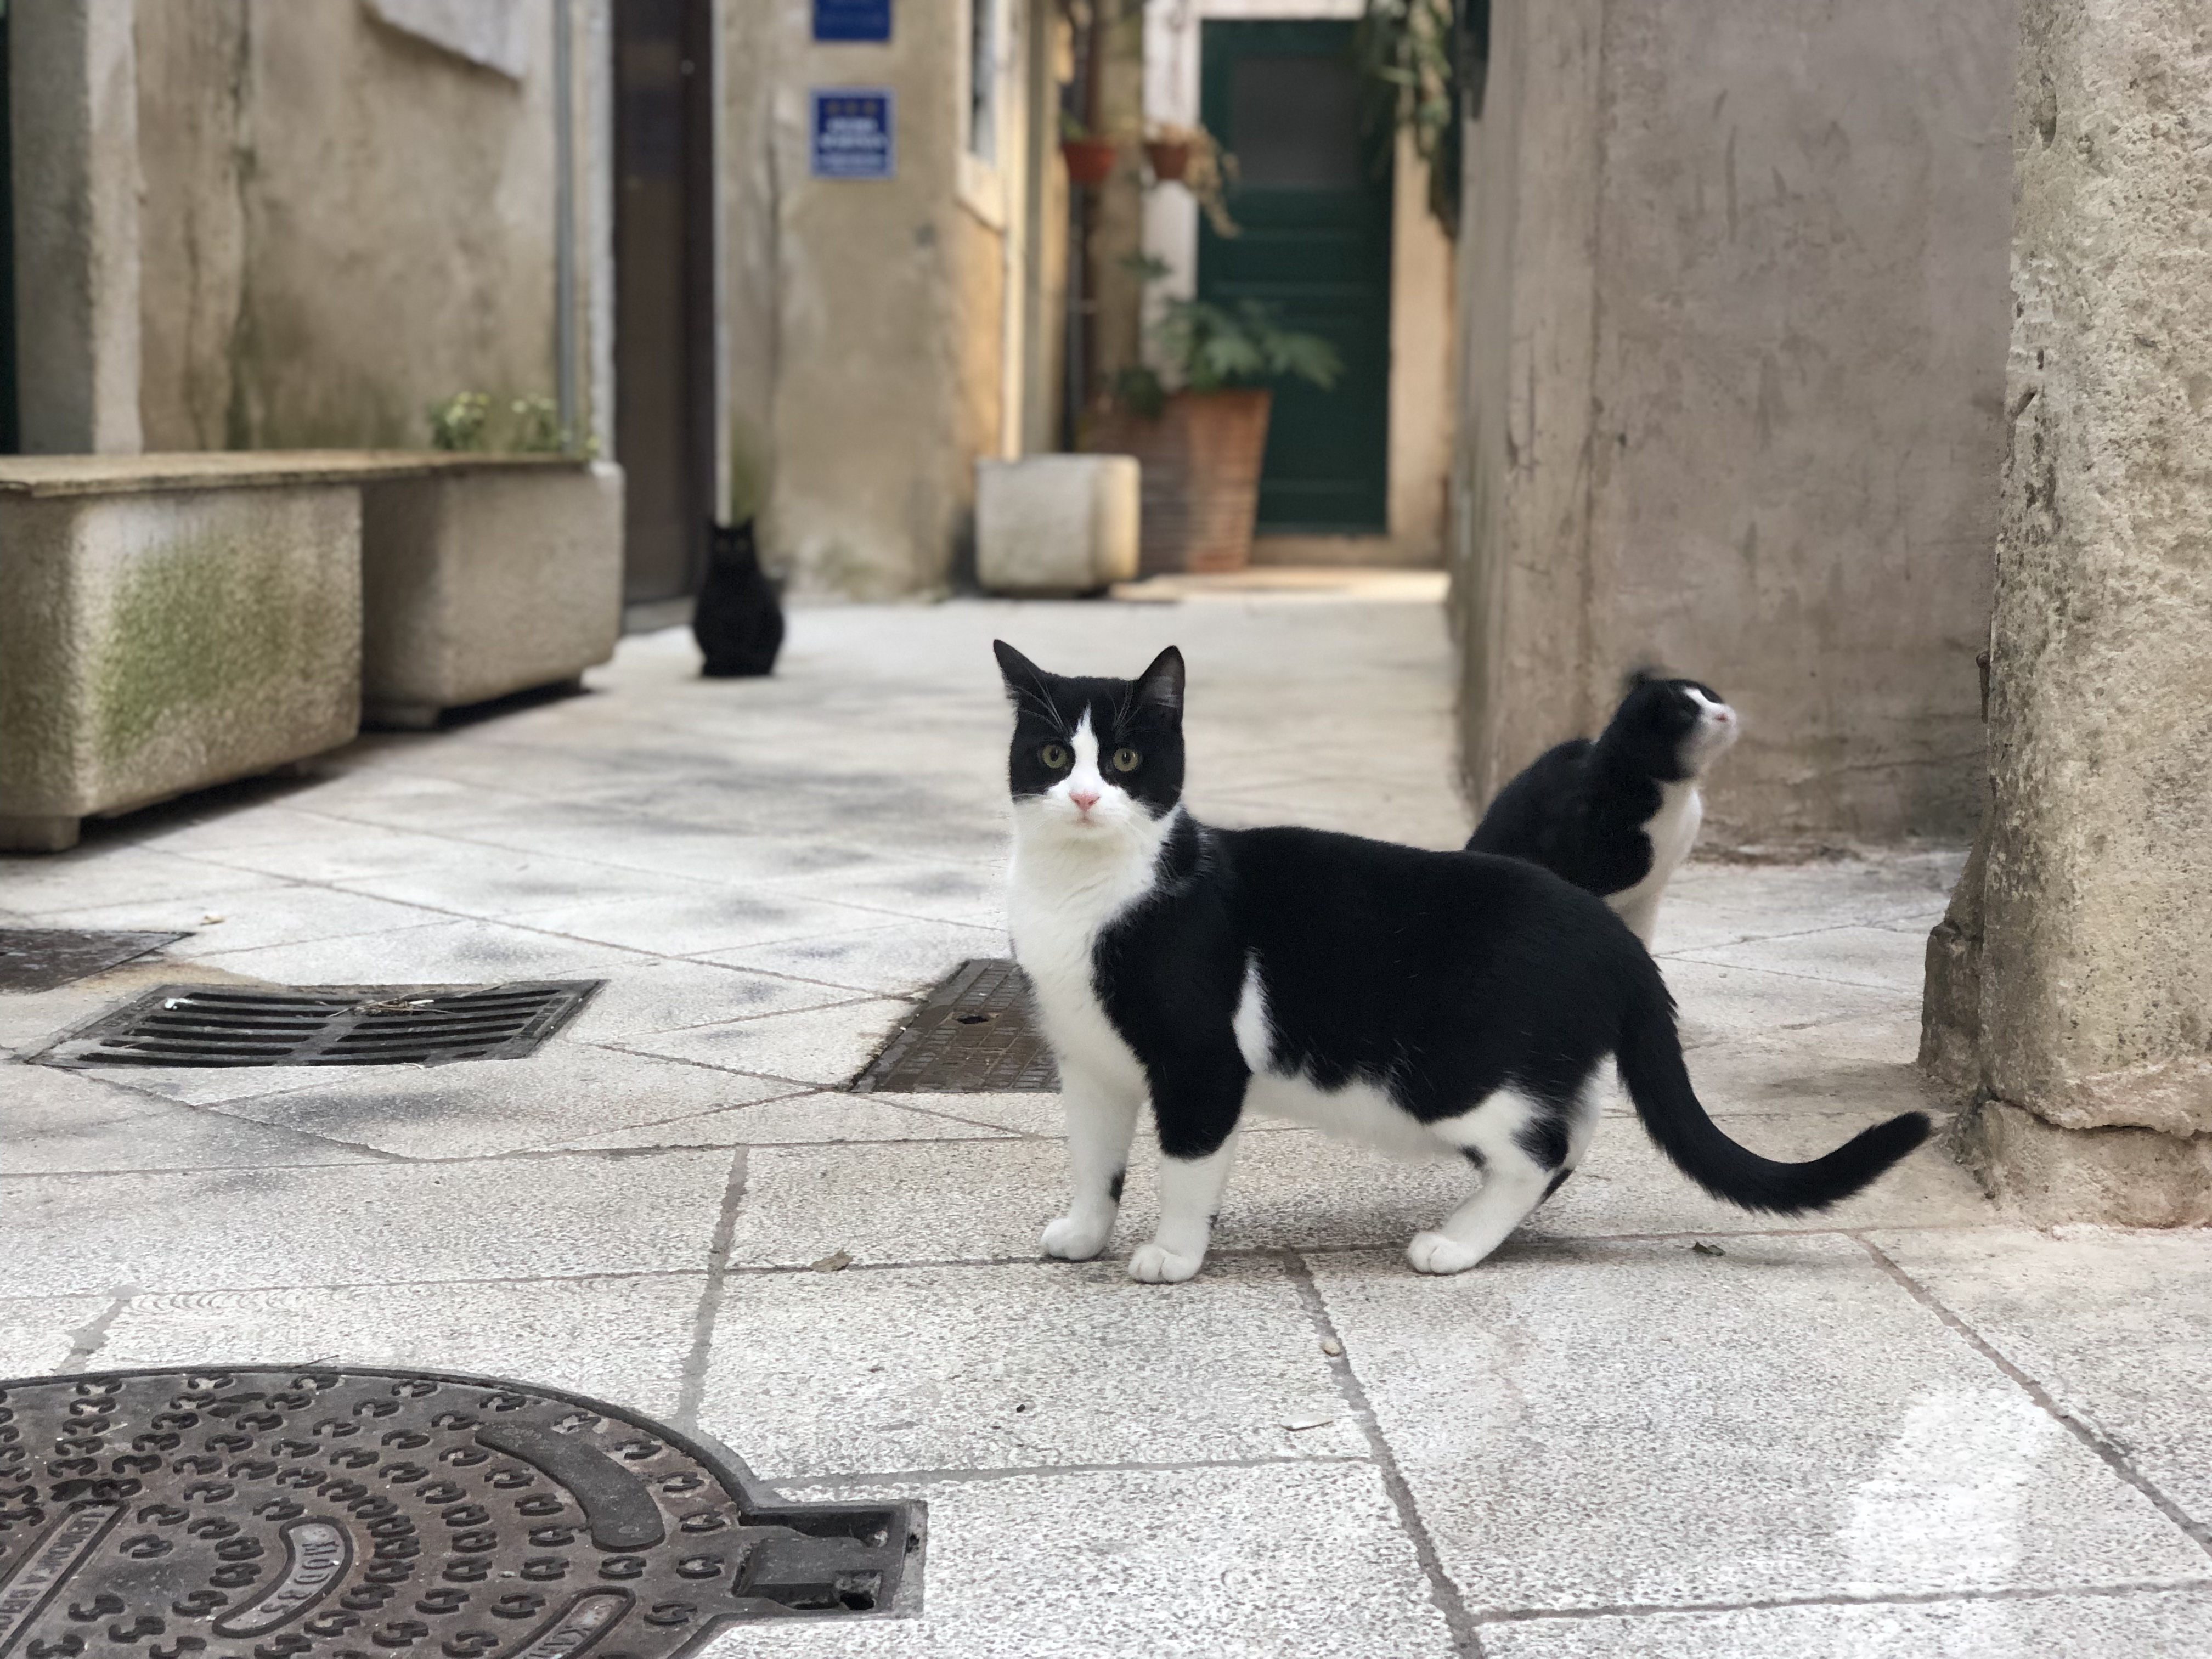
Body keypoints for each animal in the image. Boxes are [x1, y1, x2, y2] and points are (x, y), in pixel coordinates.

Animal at [699, 520, 796, 676]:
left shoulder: (751, 616)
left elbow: (745, 644)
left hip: (776, 624)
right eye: (722, 545)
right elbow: (722, 644)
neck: (733, 585)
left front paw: (743, 667)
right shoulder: (715, 616)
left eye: (741, 544)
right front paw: (724, 668)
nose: (732, 553)